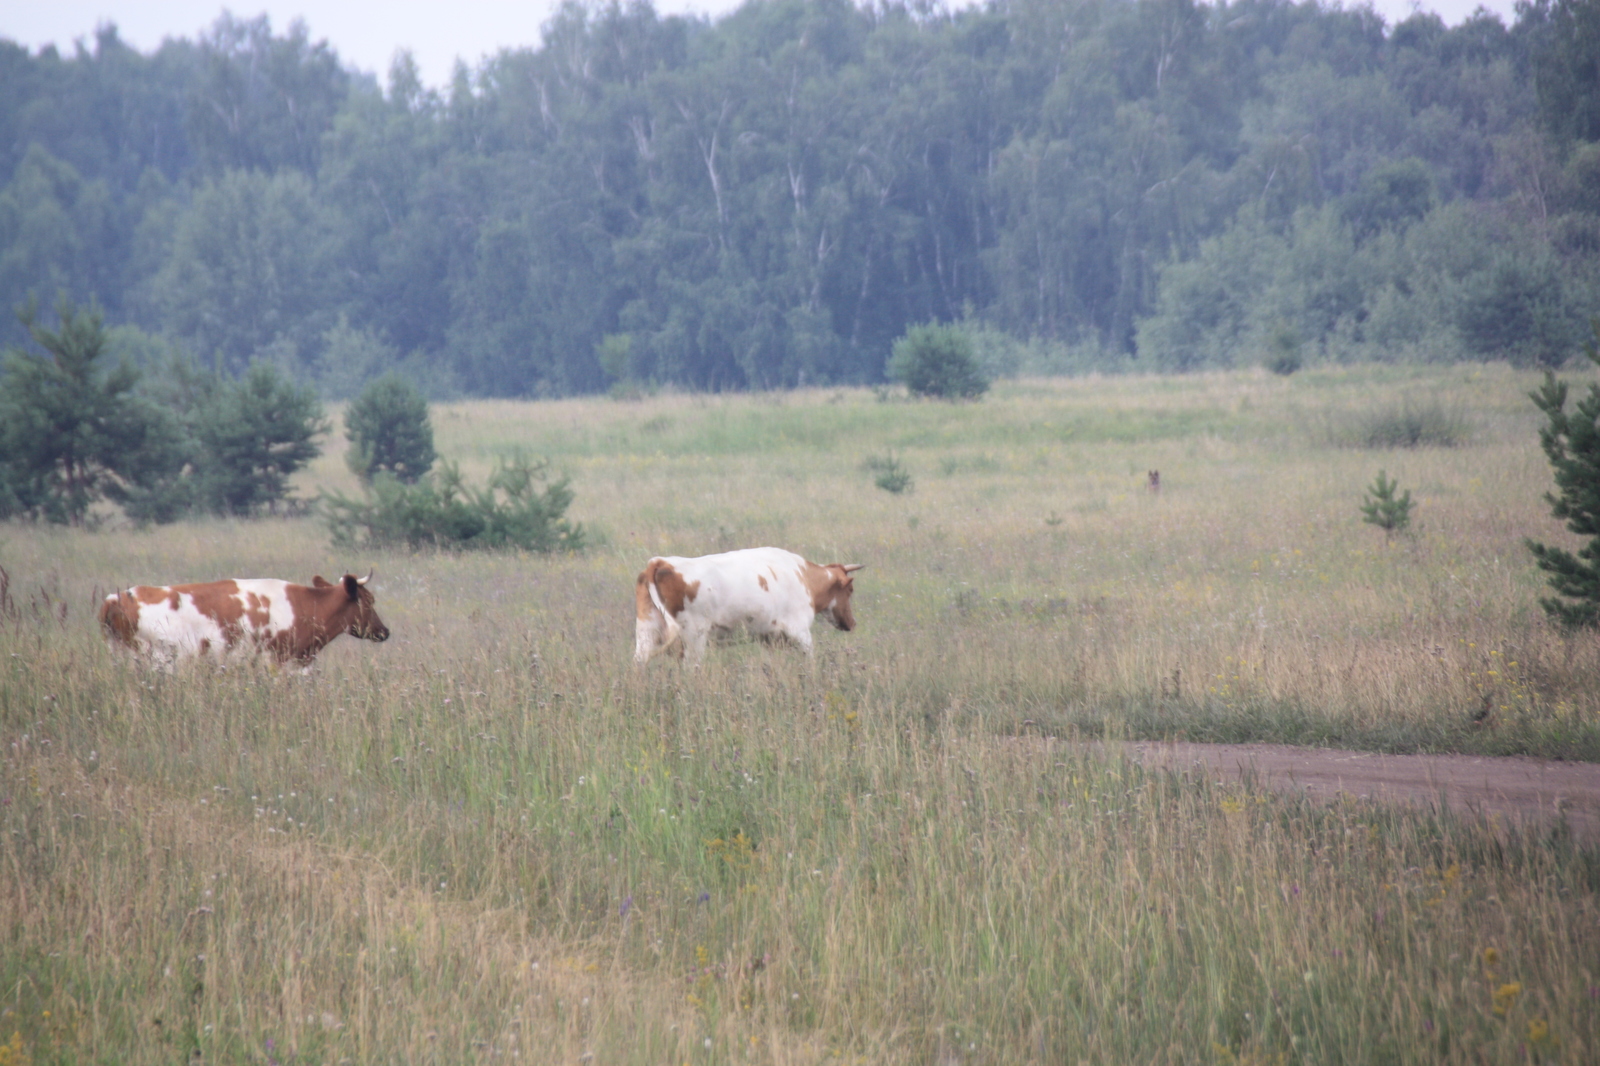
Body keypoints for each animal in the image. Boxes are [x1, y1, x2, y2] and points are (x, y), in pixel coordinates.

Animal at [633, 547, 870, 665]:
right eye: (850, 590)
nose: (852, 623)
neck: (803, 576)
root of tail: (660, 562)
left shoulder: (770, 638)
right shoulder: (800, 631)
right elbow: (810, 658)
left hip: (647, 631)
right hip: (694, 637)